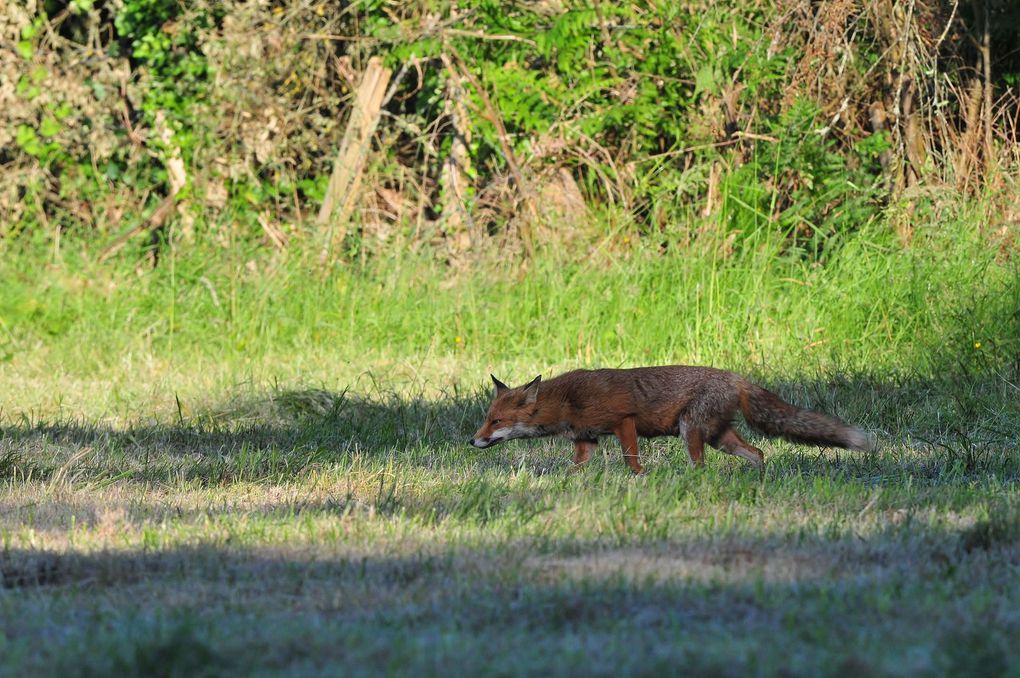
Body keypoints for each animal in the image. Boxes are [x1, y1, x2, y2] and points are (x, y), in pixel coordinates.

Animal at [469, 367, 877, 473]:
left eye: (496, 422)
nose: (472, 441)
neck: (569, 400)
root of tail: (735, 377)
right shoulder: (586, 440)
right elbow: (576, 468)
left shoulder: (625, 422)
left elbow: (632, 460)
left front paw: (640, 480)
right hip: (718, 437)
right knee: (759, 453)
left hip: (691, 431)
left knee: (701, 465)